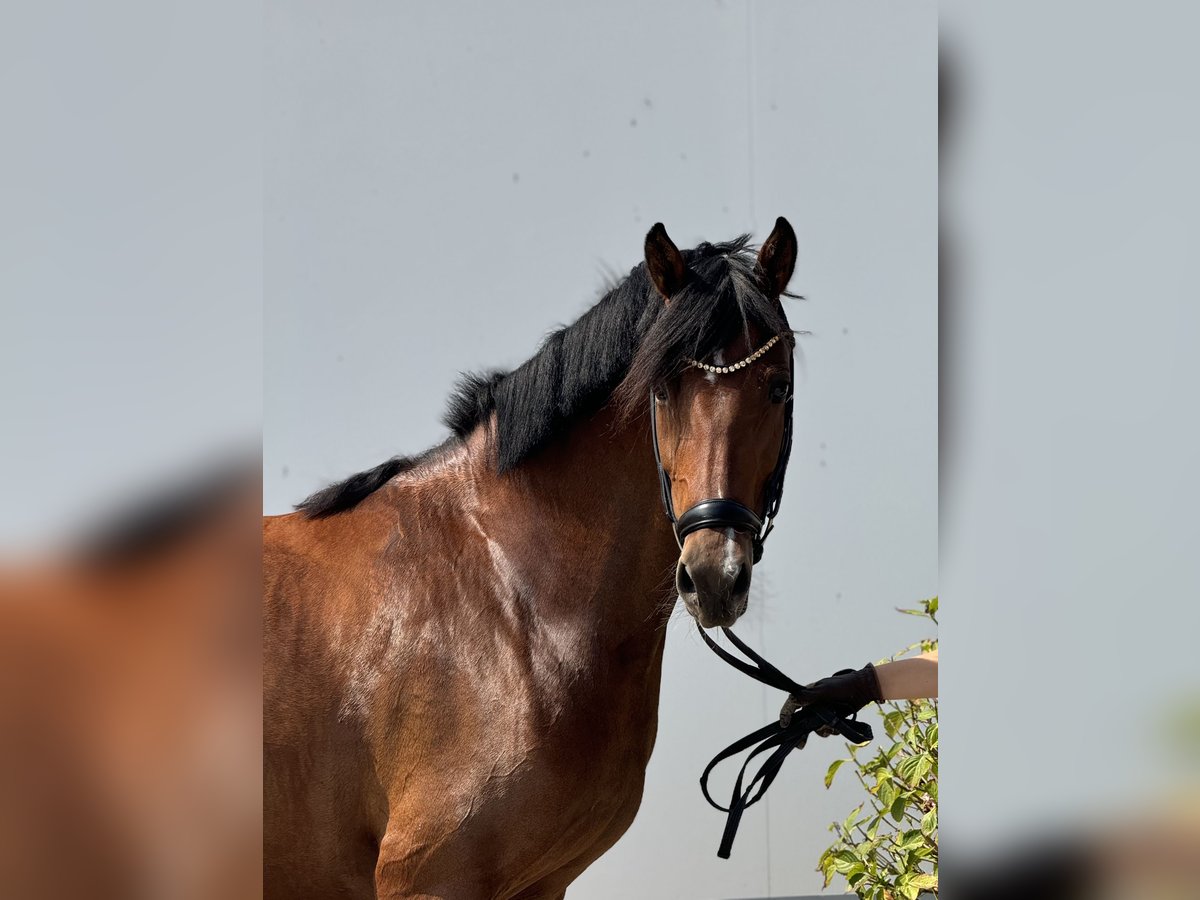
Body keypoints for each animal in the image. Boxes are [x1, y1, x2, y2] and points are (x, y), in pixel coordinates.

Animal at [267, 218, 801, 900]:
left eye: (779, 387)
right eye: (662, 388)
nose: (713, 576)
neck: (515, 601)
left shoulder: (541, 884)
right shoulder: (429, 876)